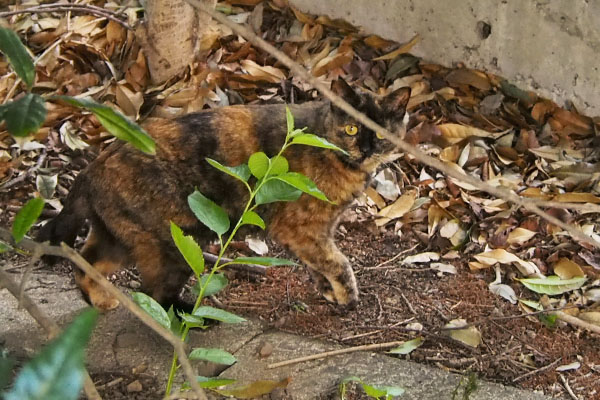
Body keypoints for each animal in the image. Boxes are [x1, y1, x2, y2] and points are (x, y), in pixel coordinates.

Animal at [37, 77, 410, 310]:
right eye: (352, 128)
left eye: (380, 134)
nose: (366, 149)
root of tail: (92, 166)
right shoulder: (302, 229)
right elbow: (338, 262)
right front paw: (347, 297)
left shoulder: (313, 234)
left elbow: (319, 263)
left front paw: (328, 291)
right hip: (174, 244)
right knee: (154, 295)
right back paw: (190, 320)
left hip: (122, 237)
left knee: (85, 262)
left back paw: (101, 301)